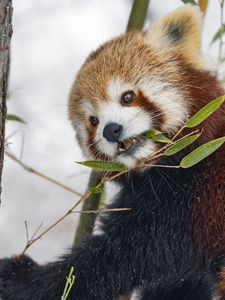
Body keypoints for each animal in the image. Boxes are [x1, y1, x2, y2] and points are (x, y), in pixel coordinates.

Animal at [0, 4, 225, 300]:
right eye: (93, 121)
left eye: (127, 97)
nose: (111, 130)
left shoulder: (187, 196)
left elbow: (122, 255)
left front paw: (24, 278)